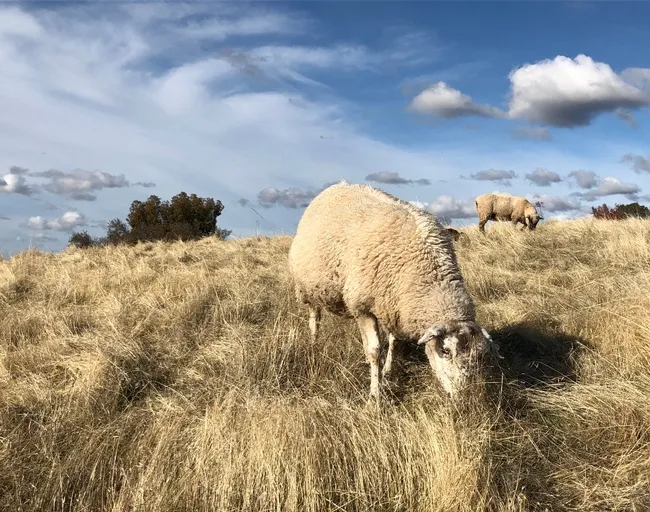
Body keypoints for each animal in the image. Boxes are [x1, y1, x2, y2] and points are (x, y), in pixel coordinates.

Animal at [288, 180, 501, 403]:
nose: (465, 398)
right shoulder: (364, 306)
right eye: (445, 350)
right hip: (308, 288)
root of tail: (337, 185)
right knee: (315, 319)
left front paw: (387, 371)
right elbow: (375, 351)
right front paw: (375, 395)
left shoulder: (392, 304)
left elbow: (393, 341)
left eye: (480, 356)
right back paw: (314, 344)